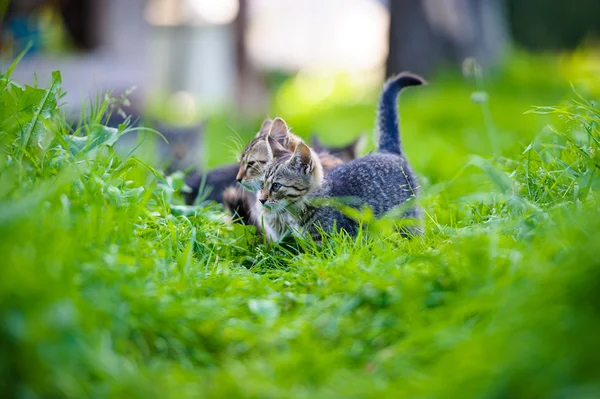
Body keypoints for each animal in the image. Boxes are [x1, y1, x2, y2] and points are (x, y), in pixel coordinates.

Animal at [256, 73, 422, 242]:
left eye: (276, 186)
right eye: (261, 184)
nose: (261, 199)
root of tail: (386, 152)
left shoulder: (337, 238)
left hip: (407, 218)